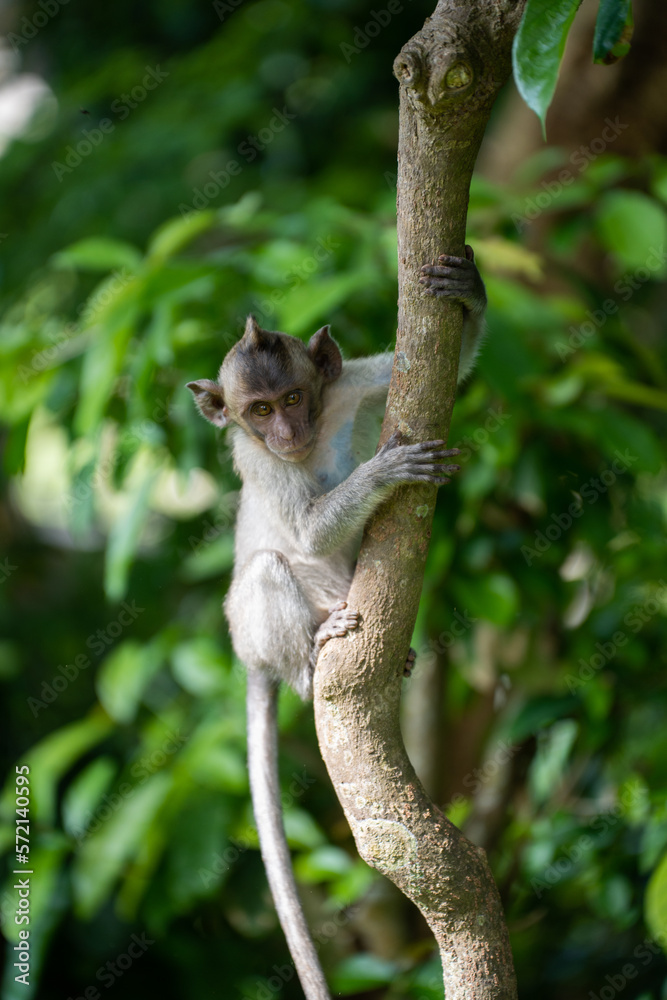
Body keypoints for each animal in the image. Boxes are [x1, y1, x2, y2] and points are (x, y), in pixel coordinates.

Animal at [187, 246, 487, 1000]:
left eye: (294, 399)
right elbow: (305, 531)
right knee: (268, 567)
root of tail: (253, 661)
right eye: (259, 411)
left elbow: (455, 361)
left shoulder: (349, 388)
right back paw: (310, 655)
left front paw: (467, 292)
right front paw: (384, 471)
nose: (287, 432)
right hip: (257, 633)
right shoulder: (257, 459)